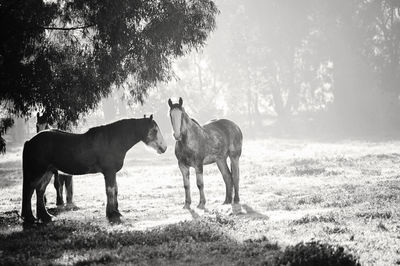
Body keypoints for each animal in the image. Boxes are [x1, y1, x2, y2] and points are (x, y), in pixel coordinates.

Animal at [22, 115, 166, 223]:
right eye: (154, 130)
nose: (164, 148)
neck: (112, 140)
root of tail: (30, 141)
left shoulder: (112, 173)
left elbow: (115, 190)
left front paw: (115, 212)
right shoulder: (109, 172)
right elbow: (110, 191)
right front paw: (112, 214)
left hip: (47, 172)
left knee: (39, 191)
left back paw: (45, 216)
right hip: (38, 171)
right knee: (30, 190)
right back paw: (29, 218)